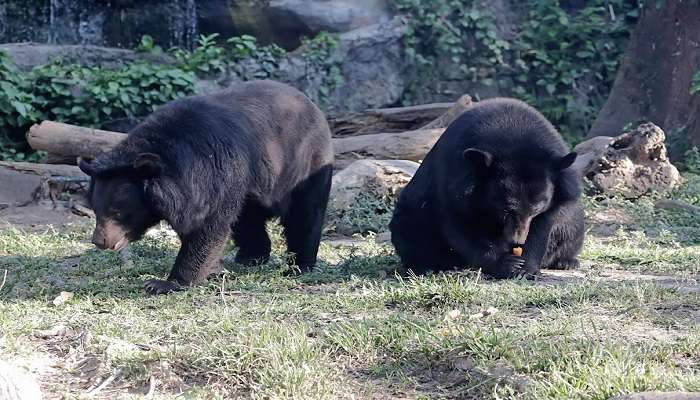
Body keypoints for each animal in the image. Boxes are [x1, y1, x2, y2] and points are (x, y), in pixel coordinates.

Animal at [79, 80, 334, 294]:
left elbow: (208, 226)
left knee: (305, 214)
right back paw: (250, 256)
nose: (99, 241)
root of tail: (313, 105)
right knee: (248, 218)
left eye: (118, 212)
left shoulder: (214, 172)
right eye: (95, 210)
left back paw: (299, 266)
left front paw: (164, 283)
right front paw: (215, 270)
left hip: (304, 162)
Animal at [388, 97, 584, 278]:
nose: (516, 242)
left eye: (536, 210)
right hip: (413, 215)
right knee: (410, 231)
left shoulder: (557, 196)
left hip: (573, 219)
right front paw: (508, 263)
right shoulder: (455, 182)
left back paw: (567, 262)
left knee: (572, 227)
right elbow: (462, 225)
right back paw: (425, 266)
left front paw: (525, 268)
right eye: (506, 209)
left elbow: (542, 228)